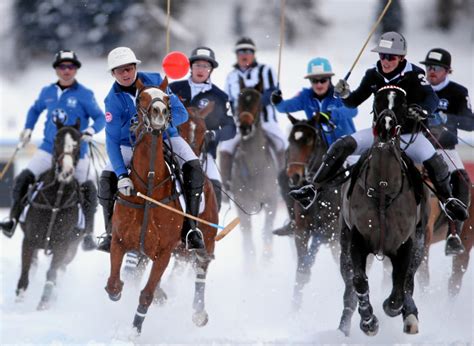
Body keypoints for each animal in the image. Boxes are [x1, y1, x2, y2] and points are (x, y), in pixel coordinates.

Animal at [16, 120, 84, 310]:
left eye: (77, 144)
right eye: (56, 140)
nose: (66, 171)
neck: (57, 201)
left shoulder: (62, 245)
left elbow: (52, 274)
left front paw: (43, 304)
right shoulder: (29, 240)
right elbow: (25, 274)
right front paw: (18, 303)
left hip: (72, 249)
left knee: (60, 271)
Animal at [104, 79, 218, 336]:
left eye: (167, 98)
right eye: (140, 98)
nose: (160, 113)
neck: (149, 186)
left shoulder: (164, 252)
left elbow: (146, 294)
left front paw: (134, 332)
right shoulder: (120, 242)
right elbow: (114, 286)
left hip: (206, 238)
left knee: (202, 267)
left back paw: (199, 313)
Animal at [229, 86, 278, 260]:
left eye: (258, 103)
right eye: (238, 102)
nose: (244, 127)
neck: (255, 170)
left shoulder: (271, 202)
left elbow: (267, 233)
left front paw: (266, 260)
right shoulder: (242, 205)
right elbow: (248, 239)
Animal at [286, 114, 340, 310]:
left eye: (309, 140)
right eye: (290, 140)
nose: (294, 176)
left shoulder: (330, 229)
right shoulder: (301, 230)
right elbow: (301, 269)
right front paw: (294, 308)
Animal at [336, 86, 430, 336]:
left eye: (402, 103)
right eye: (377, 100)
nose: (386, 125)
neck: (382, 189)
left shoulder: (406, 244)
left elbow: (400, 286)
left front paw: (396, 308)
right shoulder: (357, 239)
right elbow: (358, 281)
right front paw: (368, 321)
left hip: (420, 241)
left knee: (408, 281)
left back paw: (410, 315)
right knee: (349, 287)